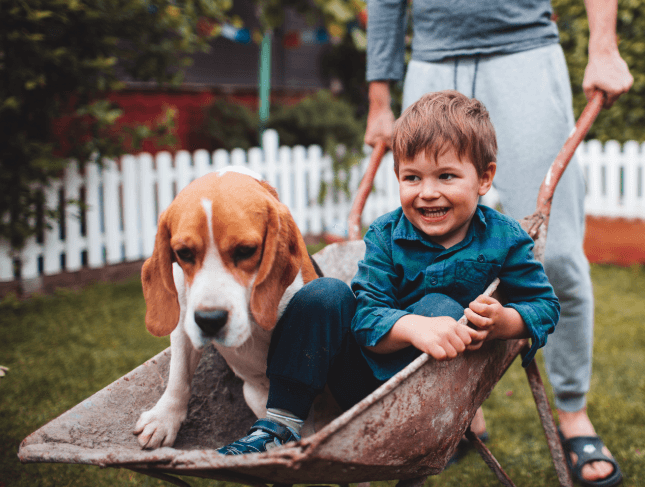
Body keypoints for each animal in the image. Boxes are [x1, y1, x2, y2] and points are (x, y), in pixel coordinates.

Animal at [133, 168, 320, 450]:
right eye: (183, 253)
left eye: (246, 251)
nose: (209, 320)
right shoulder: (184, 323)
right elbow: (179, 373)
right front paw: (164, 417)